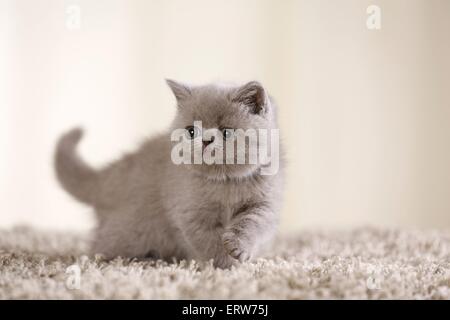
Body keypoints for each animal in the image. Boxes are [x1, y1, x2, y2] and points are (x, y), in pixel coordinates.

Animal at [54, 79, 284, 268]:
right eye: (191, 131)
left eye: (226, 132)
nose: (205, 140)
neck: (225, 183)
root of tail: (110, 177)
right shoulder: (189, 213)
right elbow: (209, 242)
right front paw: (226, 265)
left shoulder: (265, 203)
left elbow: (253, 223)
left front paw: (239, 250)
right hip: (131, 231)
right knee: (99, 249)